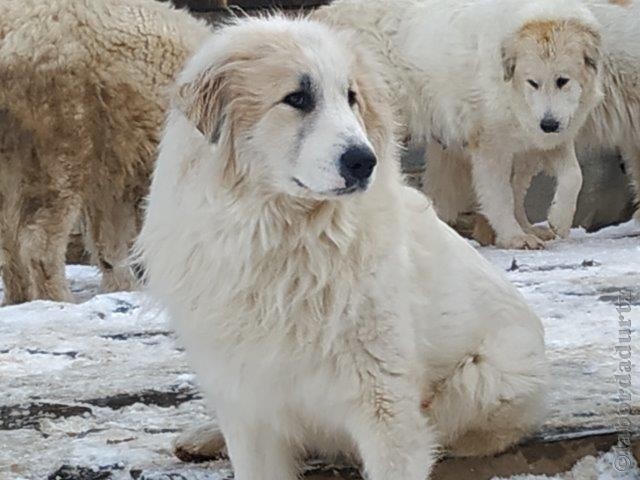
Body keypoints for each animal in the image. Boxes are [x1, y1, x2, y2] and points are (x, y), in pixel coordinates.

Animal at [138, 15, 548, 480]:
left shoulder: (384, 403)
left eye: (351, 97)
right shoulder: (248, 401)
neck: (283, 238)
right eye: (297, 98)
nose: (363, 161)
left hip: (492, 375)